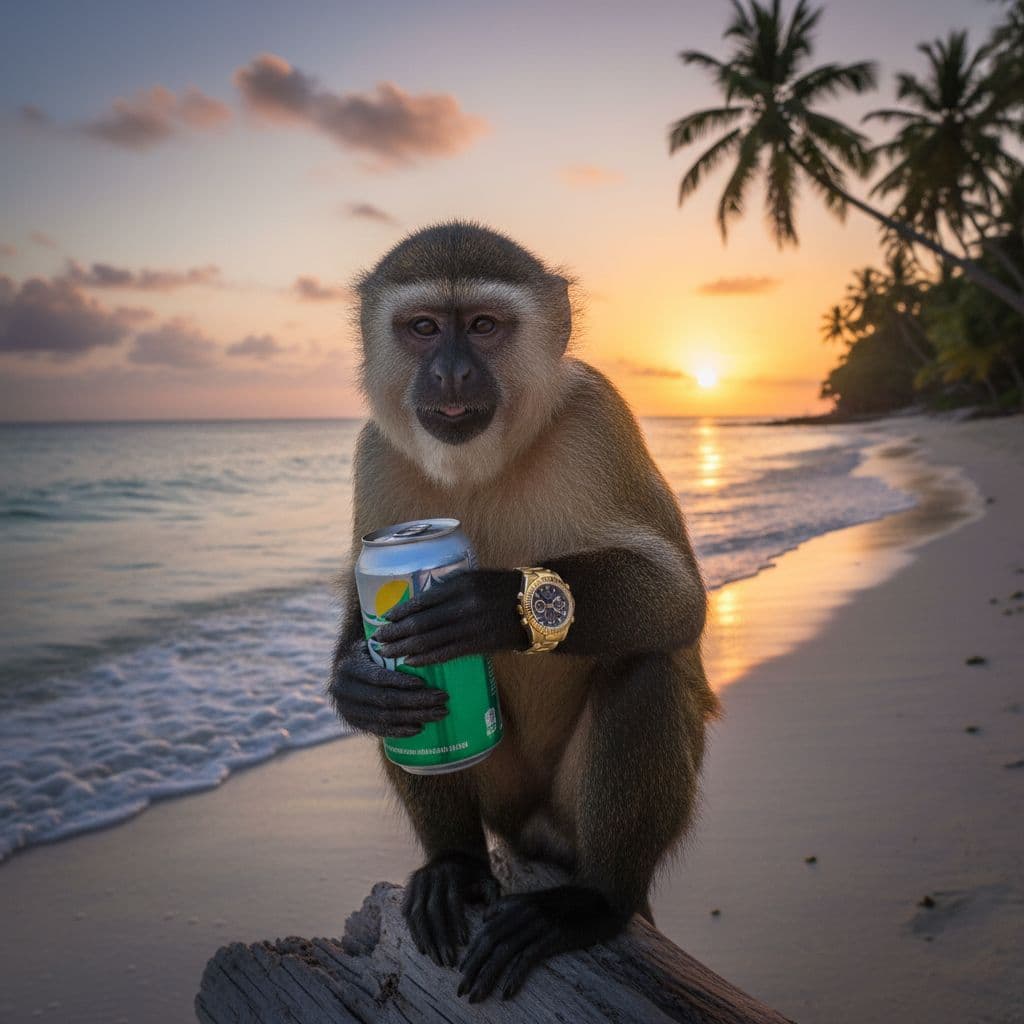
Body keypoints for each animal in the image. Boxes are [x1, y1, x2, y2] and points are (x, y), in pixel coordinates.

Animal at [328, 221, 717, 1003]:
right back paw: (455, 865)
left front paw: (484, 605)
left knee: (649, 664)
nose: (450, 374)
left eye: (482, 325)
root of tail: (534, 835)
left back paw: (595, 900)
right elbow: (369, 628)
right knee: (406, 726)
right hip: (504, 801)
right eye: (423, 327)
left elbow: (678, 600)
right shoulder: (376, 453)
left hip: (566, 817)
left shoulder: (599, 417)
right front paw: (358, 680)